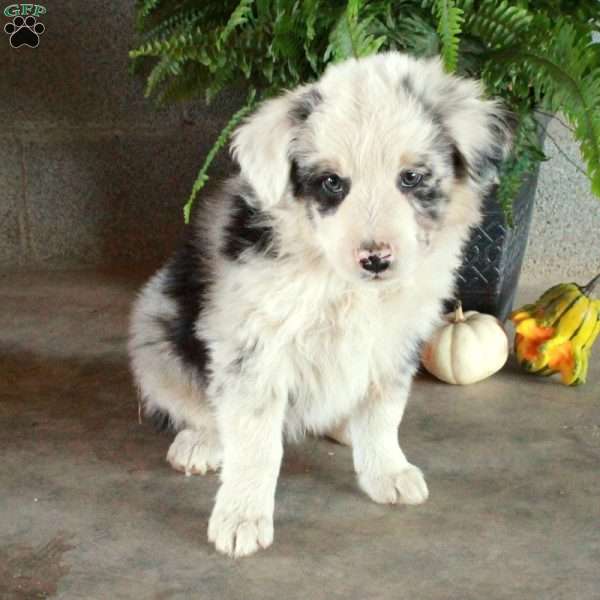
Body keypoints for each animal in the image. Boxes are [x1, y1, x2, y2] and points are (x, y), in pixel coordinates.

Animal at [127, 51, 510, 556]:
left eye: (410, 178)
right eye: (332, 183)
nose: (376, 259)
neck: (343, 285)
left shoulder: (395, 341)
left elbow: (383, 414)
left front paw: (387, 471)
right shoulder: (254, 348)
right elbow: (256, 442)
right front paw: (241, 516)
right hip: (154, 325)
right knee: (192, 402)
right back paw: (200, 443)